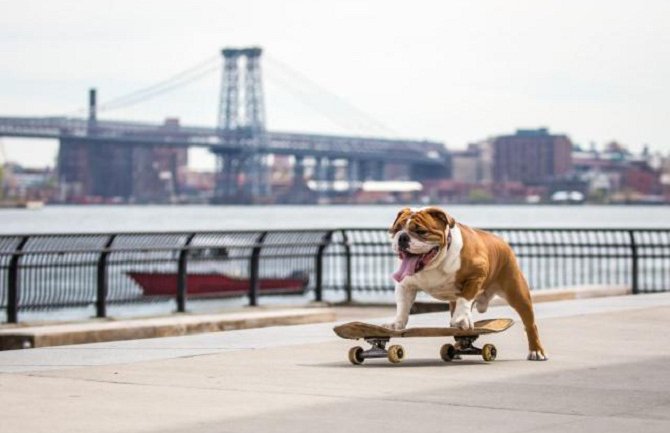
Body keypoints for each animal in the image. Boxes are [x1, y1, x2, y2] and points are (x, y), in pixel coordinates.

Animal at [392, 205, 548, 358]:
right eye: (396, 229)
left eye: (421, 231)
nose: (402, 237)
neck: (436, 262)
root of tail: (503, 242)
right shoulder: (405, 286)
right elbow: (403, 305)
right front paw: (397, 323)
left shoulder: (476, 275)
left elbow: (465, 298)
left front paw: (461, 319)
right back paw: (458, 346)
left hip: (517, 293)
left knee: (530, 324)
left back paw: (536, 351)